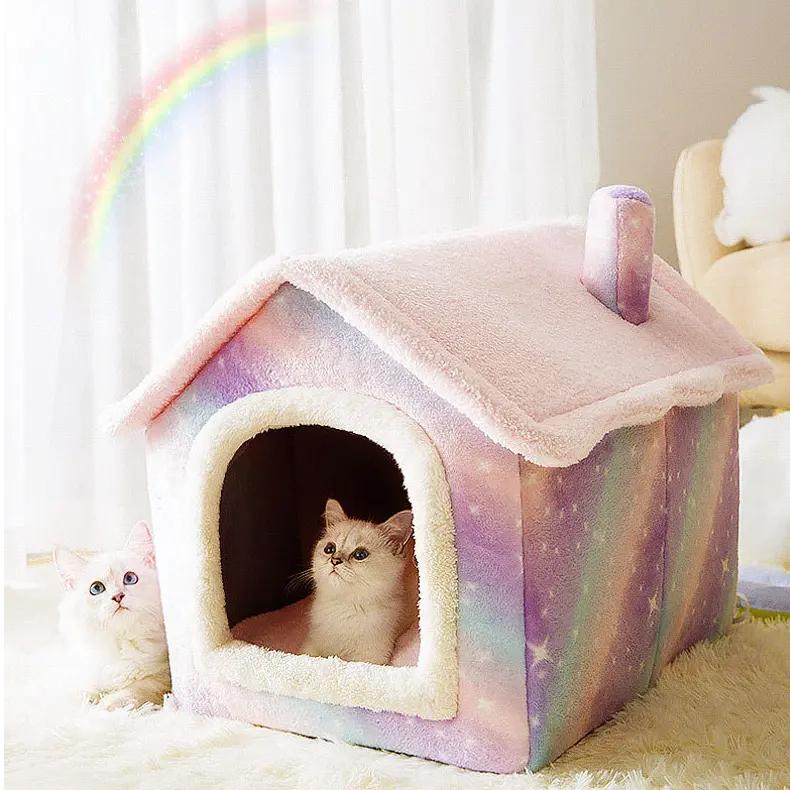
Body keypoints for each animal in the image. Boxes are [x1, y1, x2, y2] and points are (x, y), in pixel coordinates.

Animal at [53, 520, 171, 712]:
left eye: (130, 578)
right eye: (96, 588)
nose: (117, 596)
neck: (121, 641)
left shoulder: (164, 676)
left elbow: (139, 687)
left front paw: (109, 704)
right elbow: (84, 690)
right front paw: (83, 702)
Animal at [300, 502, 418, 668]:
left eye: (360, 554)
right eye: (329, 549)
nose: (334, 560)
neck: (343, 606)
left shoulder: (370, 657)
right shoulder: (311, 644)